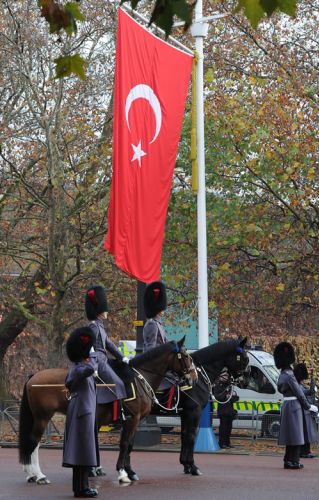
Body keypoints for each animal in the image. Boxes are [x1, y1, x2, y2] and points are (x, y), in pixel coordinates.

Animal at [19, 338, 198, 482]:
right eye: (186, 355)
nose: (192, 379)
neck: (140, 379)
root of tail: (33, 376)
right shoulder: (132, 419)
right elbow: (124, 444)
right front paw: (122, 472)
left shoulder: (136, 420)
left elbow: (130, 444)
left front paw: (130, 471)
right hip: (42, 417)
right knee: (33, 443)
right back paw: (38, 475)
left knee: (33, 444)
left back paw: (31, 474)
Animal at [155, 338, 250, 474]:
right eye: (244, 358)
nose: (246, 381)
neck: (198, 378)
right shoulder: (194, 412)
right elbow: (191, 436)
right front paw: (192, 466)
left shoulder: (185, 414)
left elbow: (184, 435)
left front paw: (186, 465)